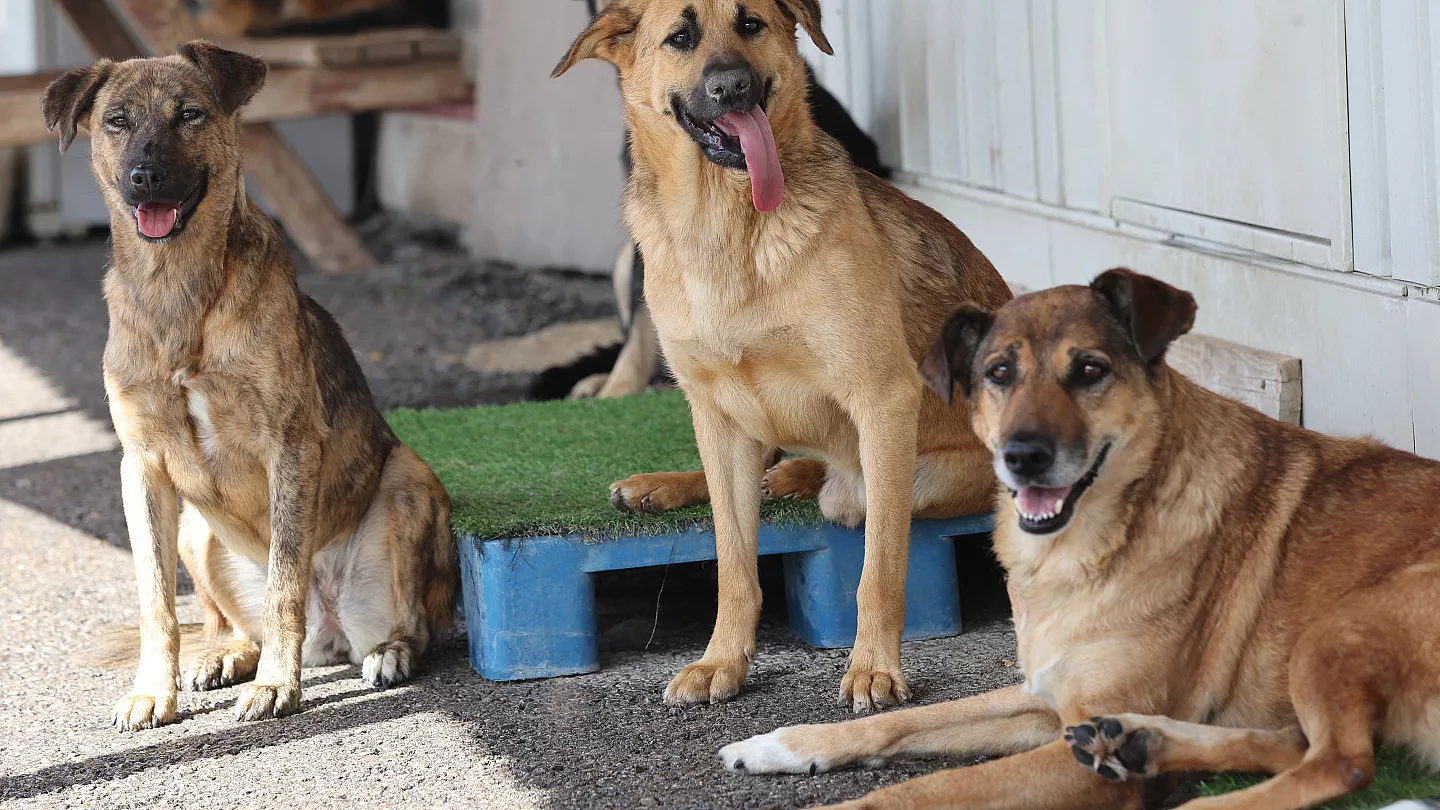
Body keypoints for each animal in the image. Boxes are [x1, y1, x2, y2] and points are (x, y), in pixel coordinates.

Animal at [45, 41, 457, 729]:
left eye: (189, 114)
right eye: (116, 122)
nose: (145, 177)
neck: (177, 292)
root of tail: (332, 632)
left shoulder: (289, 448)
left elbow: (284, 583)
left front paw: (276, 686)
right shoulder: (142, 466)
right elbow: (156, 602)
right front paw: (154, 690)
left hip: (409, 477)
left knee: (415, 621)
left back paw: (389, 651)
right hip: (193, 527)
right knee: (231, 625)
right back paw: (226, 657)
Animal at [550, 0, 1013, 706]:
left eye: (750, 24)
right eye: (679, 37)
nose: (733, 86)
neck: (726, 222)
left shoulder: (883, 400)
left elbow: (880, 572)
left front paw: (873, 668)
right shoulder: (714, 415)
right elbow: (733, 564)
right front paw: (721, 660)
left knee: (839, 492)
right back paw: (672, 485)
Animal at [725, 266, 1440, 807]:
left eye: (1091, 370)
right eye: (998, 373)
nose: (1021, 456)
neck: (1092, 546)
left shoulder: (1069, 758)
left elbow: (928, 789)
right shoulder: (1046, 701)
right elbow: (907, 719)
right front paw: (786, 743)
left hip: (1338, 627)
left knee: (1340, 763)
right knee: (1295, 747)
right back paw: (1145, 744)